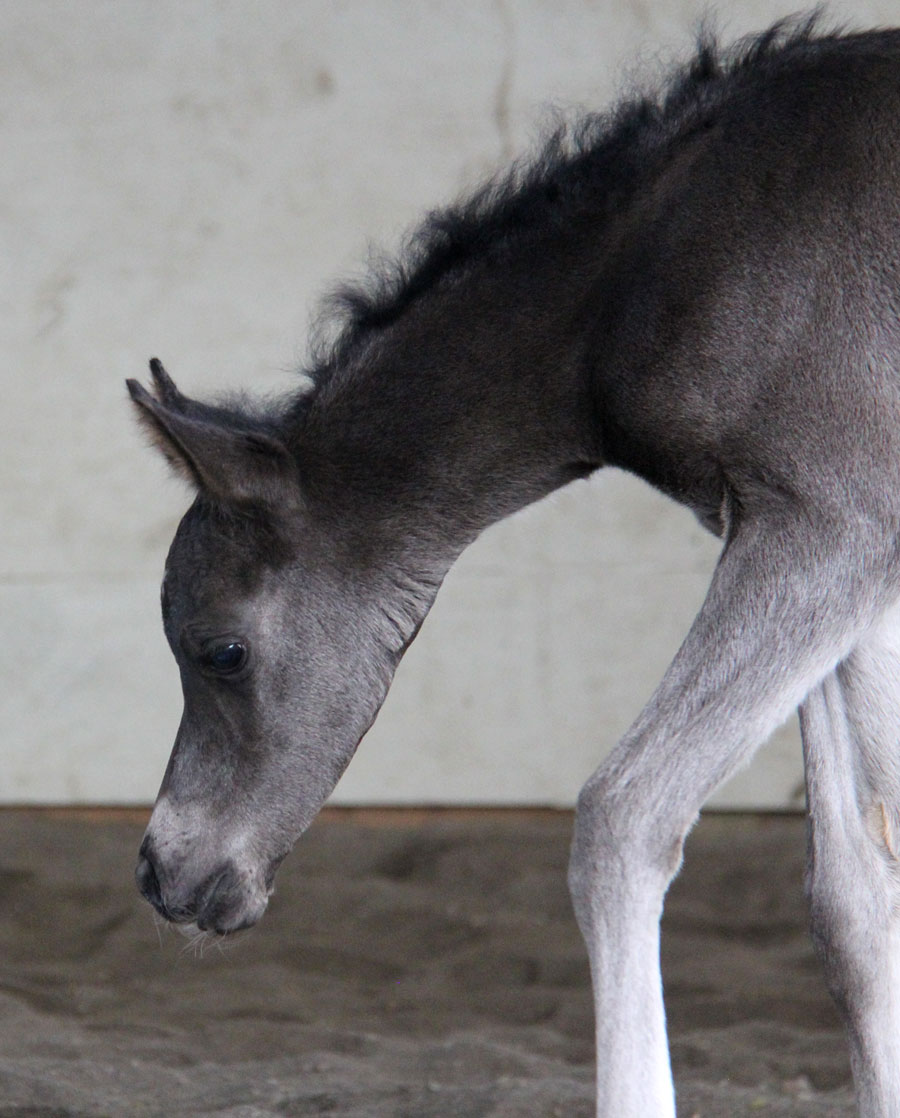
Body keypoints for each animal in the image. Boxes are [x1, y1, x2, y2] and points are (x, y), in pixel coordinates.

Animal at [128, 19, 900, 1118]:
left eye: (221, 649)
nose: (164, 876)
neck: (643, 269)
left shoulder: (826, 526)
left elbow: (625, 814)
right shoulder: (844, 554)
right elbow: (855, 894)